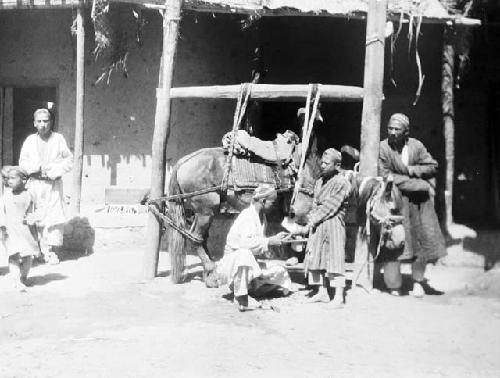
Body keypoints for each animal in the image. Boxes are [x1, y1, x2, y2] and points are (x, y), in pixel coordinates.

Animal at [162, 143, 322, 282]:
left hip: (202, 212)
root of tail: (184, 161)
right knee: (196, 238)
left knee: (200, 238)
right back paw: (211, 271)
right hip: (206, 211)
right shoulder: (300, 213)